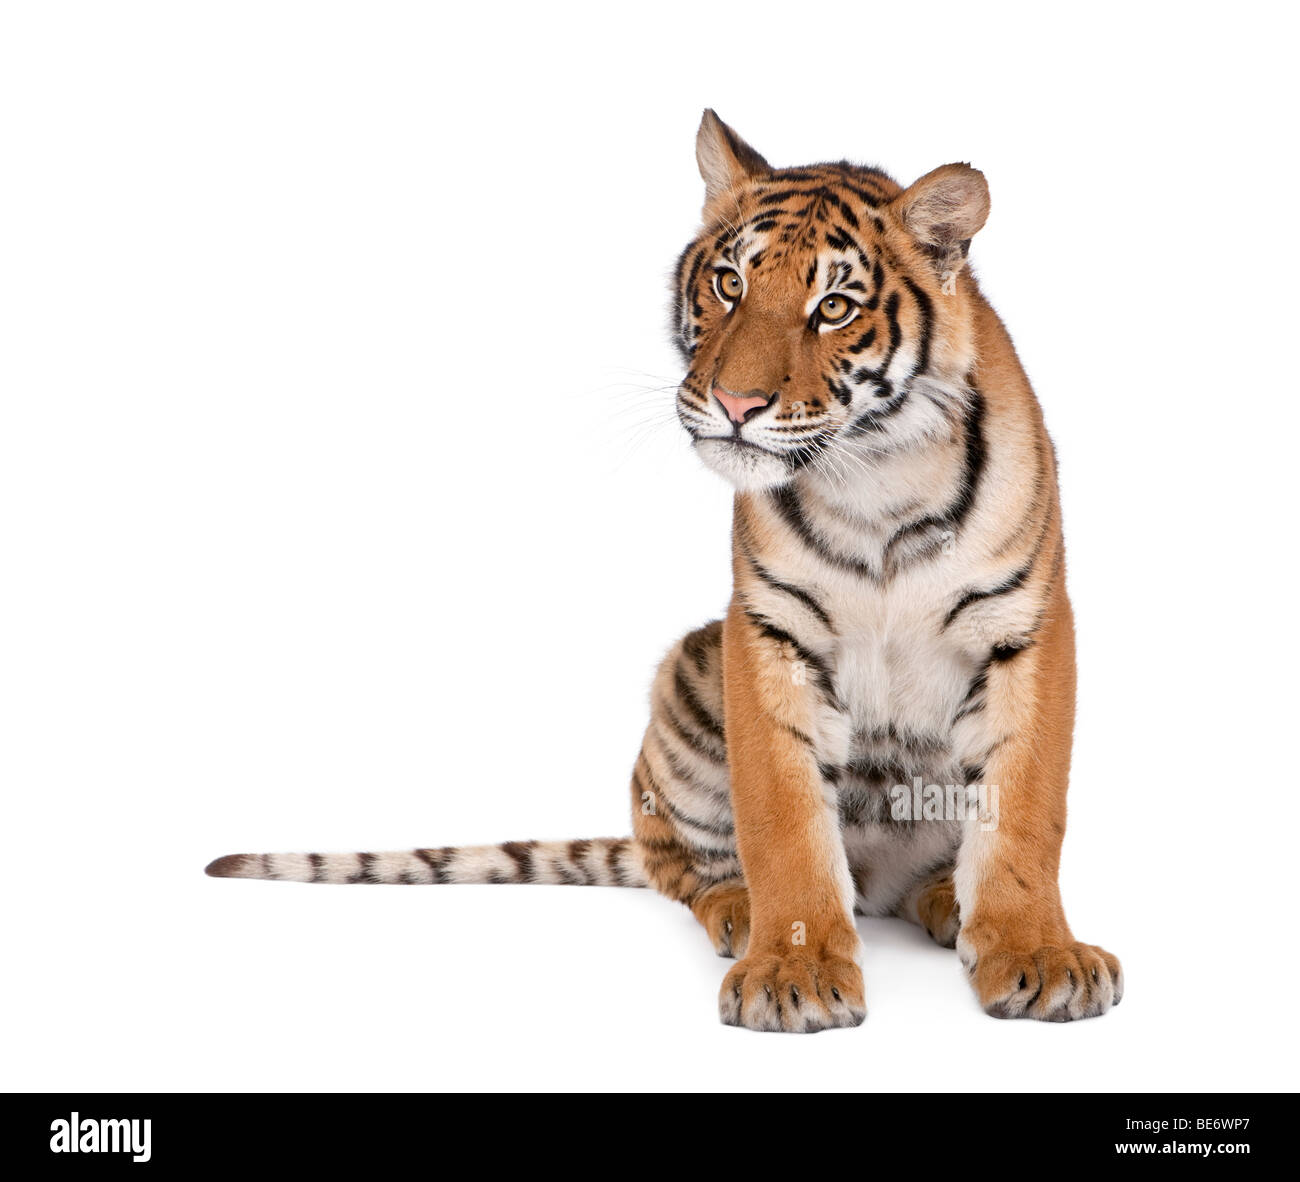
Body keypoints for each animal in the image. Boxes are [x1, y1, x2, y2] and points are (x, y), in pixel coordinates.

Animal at [208, 113, 1123, 1035]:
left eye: (833, 307)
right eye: (729, 283)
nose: (736, 404)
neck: (875, 476)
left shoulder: (1028, 627)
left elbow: (1026, 813)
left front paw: (1039, 953)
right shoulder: (769, 630)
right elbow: (782, 819)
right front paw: (791, 967)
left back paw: (945, 901)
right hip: (687, 678)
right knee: (680, 864)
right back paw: (743, 911)